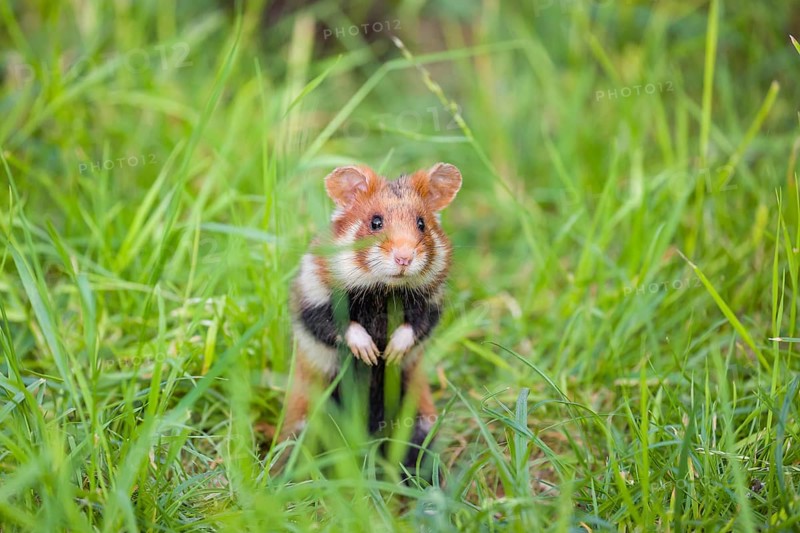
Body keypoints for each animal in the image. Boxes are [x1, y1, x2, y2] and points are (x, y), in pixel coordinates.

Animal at [281, 162, 462, 473]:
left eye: (421, 224)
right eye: (375, 222)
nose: (404, 259)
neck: (382, 290)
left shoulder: (430, 305)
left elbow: (415, 328)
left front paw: (389, 354)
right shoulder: (313, 298)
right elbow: (337, 325)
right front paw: (370, 354)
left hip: (417, 421)